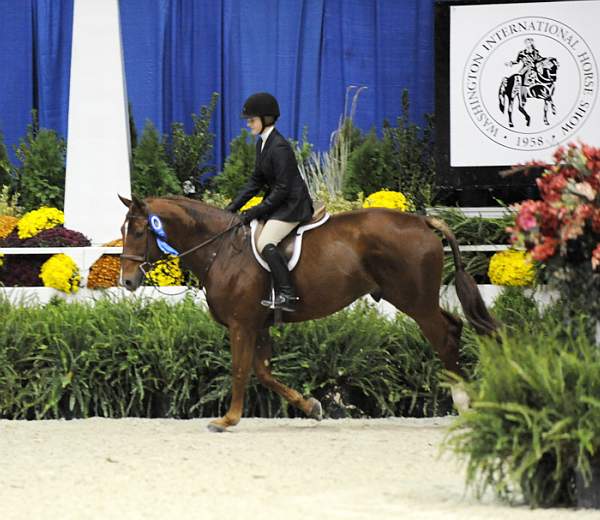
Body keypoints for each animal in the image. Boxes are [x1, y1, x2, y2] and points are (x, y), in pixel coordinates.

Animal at [117, 195, 496, 430]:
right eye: (124, 230)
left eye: (139, 230)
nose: (127, 280)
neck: (221, 249)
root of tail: (423, 222)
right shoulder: (259, 325)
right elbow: (263, 372)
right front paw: (312, 407)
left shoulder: (241, 324)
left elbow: (240, 370)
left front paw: (228, 419)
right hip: (420, 301)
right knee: (455, 327)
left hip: (415, 302)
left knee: (444, 337)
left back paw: (464, 403)